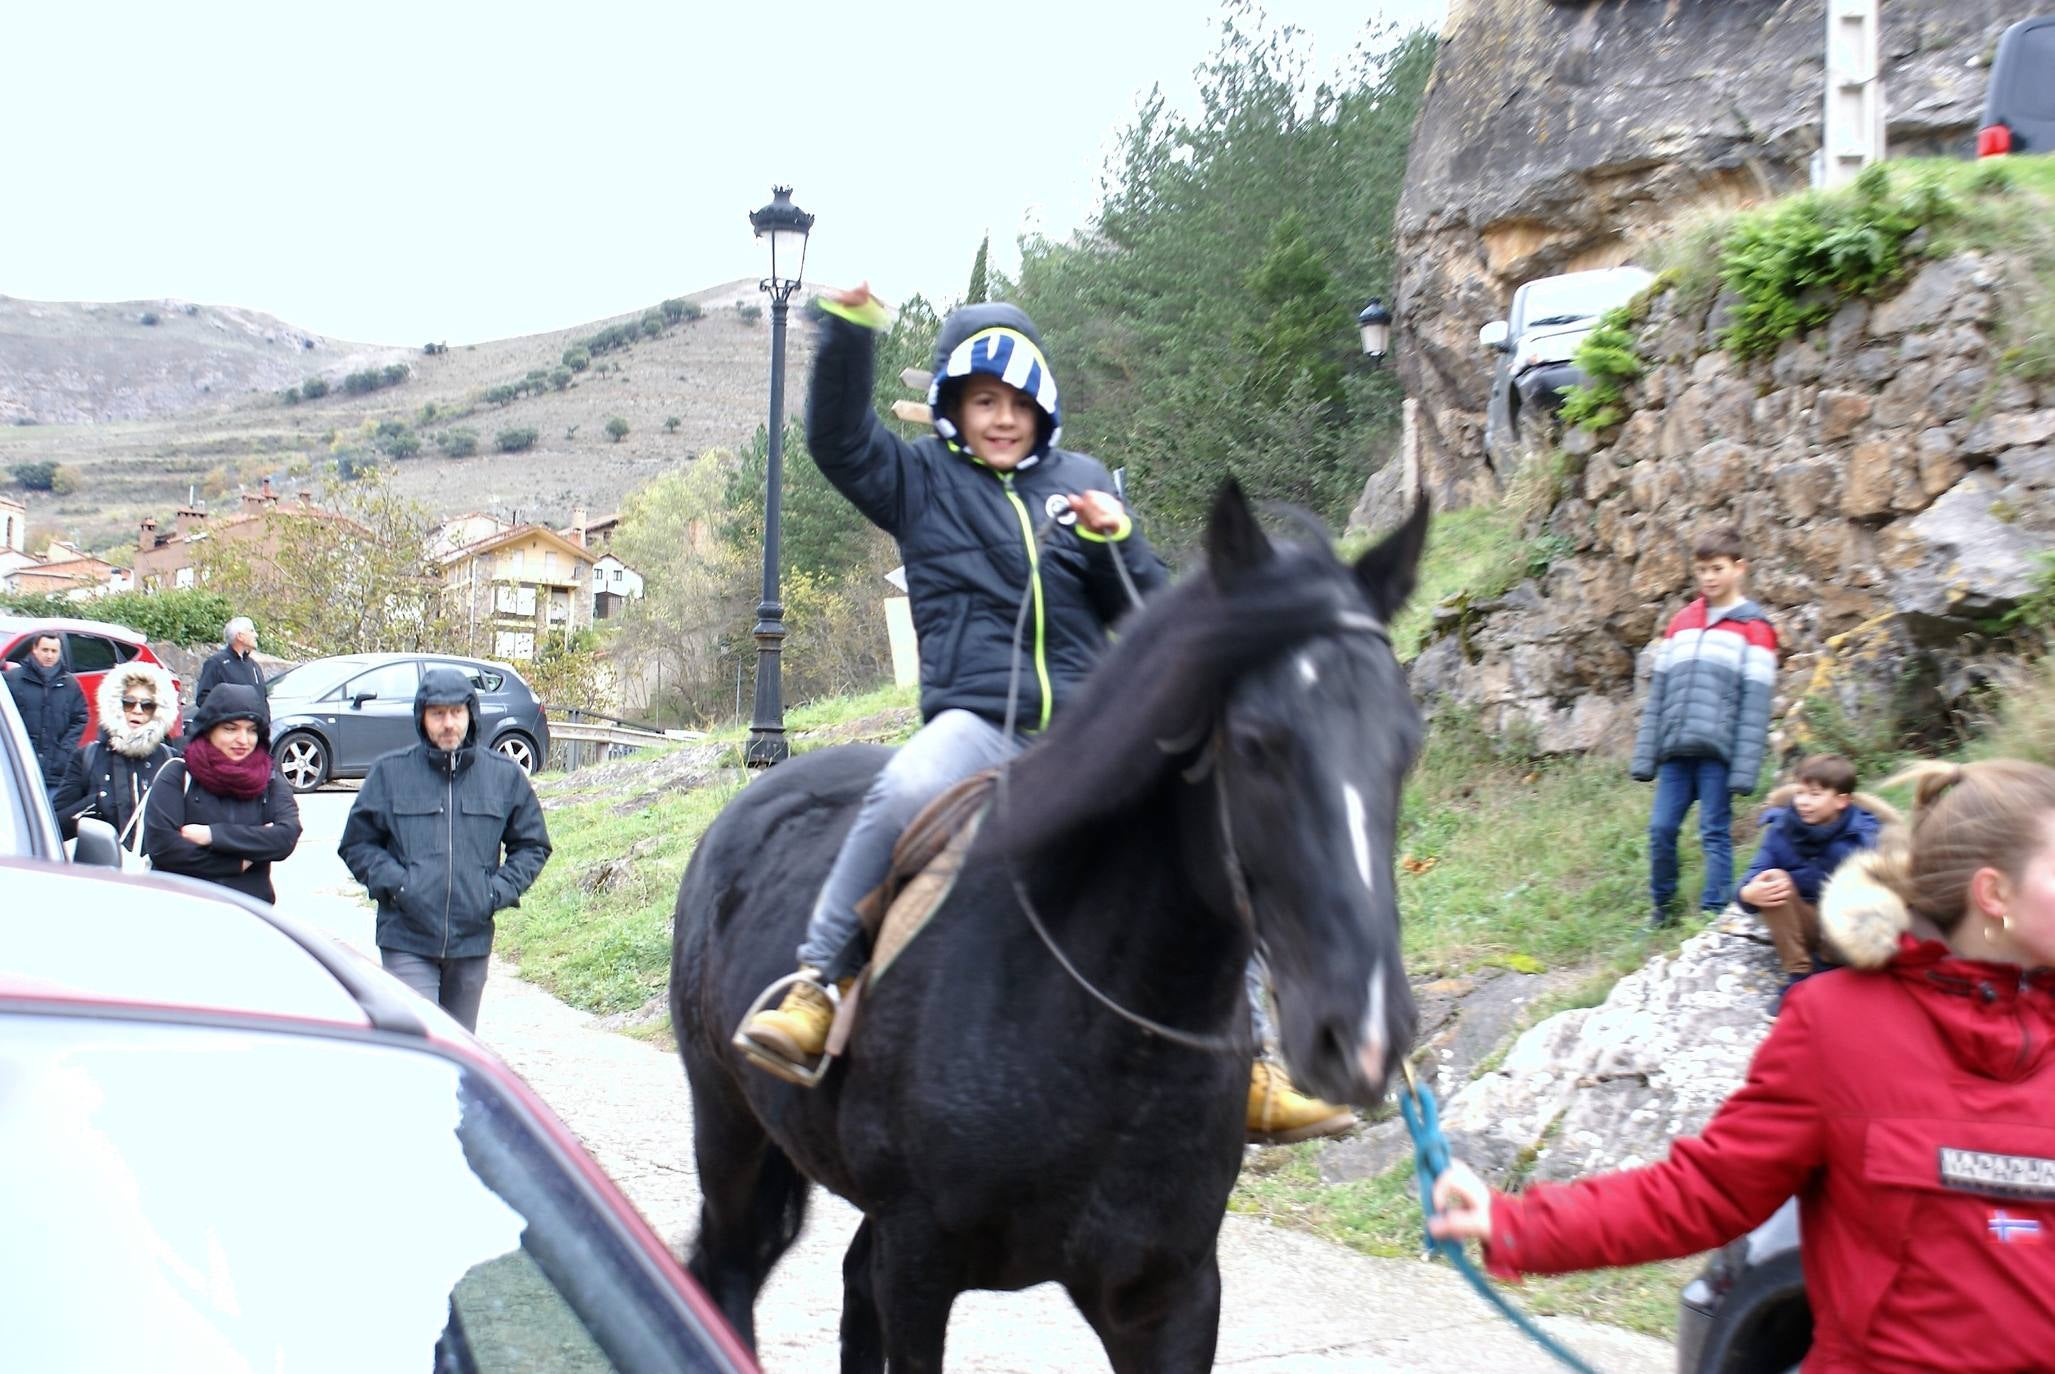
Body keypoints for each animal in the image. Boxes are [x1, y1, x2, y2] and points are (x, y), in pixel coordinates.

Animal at [674, 480, 1430, 1363]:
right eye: (1253, 742)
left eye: (1405, 744)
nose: (1365, 1032)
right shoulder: (919, 1265)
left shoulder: (1169, 1294)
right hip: (729, 1128)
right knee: (728, 1266)